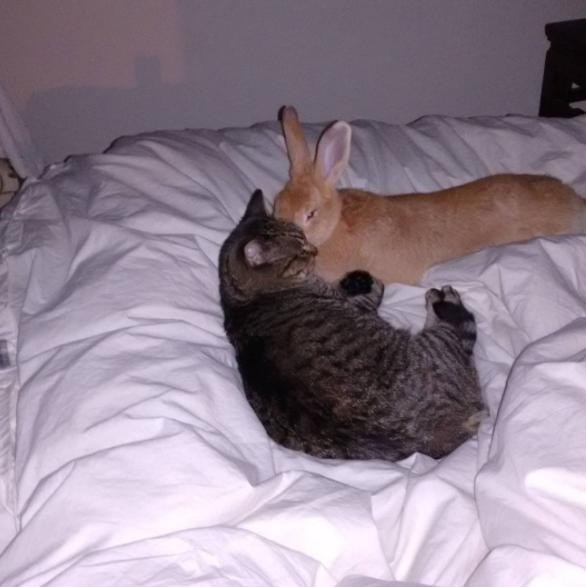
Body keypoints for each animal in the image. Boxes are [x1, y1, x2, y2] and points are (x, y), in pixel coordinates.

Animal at [219, 189, 484, 461]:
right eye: (300, 250)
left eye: (304, 237)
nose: (315, 250)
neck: (244, 300)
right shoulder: (358, 305)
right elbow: (376, 290)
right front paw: (362, 282)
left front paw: (353, 280)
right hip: (439, 346)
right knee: (456, 333)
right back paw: (442, 299)